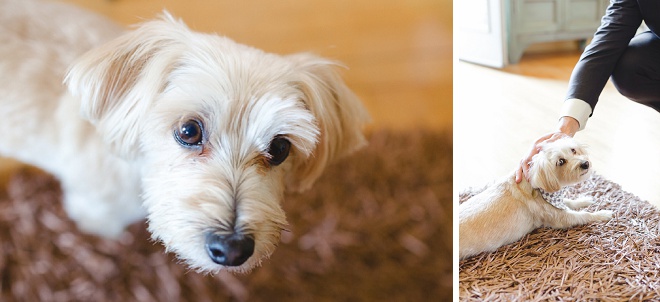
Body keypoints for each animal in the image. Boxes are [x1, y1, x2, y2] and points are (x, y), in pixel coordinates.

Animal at [458, 137, 612, 260]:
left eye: (573, 150)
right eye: (561, 161)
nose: (585, 163)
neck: (537, 187)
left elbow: (570, 202)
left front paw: (584, 200)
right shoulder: (561, 218)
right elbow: (584, 215)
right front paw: (602, 214)